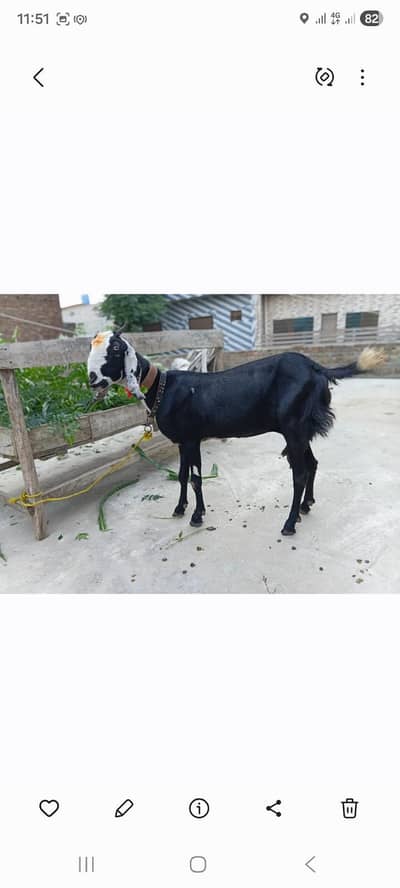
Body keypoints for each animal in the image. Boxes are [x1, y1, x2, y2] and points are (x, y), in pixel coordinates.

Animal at [87, 332, 385, 536]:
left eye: (115, 349)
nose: (91, 378)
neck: (163, 388)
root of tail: (316, 367)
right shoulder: (183, 441)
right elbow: (182, 476)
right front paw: (179, 509)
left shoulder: (192, 438)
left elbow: (196, 478)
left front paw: (197, 516)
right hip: (301, 430)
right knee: (312, 463)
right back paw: (306, 505)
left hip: (294, 427)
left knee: (299, 473)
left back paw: (289, 523)